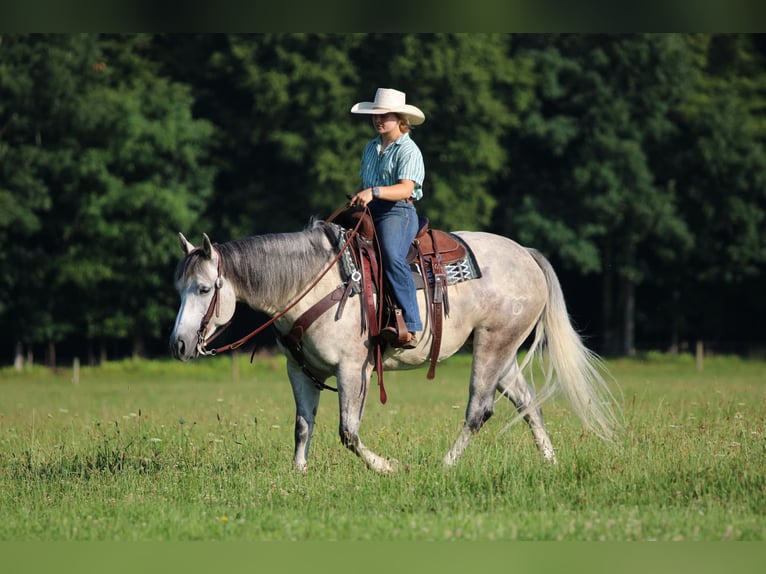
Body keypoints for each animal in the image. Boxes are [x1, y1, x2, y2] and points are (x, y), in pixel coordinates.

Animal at [169, 220, 619, 473]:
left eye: (204, 288)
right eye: (179, 289)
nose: (180, 344)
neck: (313, 282)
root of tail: (525, 254)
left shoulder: (352, 368)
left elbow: (348, 431)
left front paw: (387, 467)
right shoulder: (299, 370)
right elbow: (302, 425)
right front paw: (297, 475)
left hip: (495, 344)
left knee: (479, 410)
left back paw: (445, 465)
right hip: (501, 351)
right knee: (528, 405)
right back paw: (550, 463)